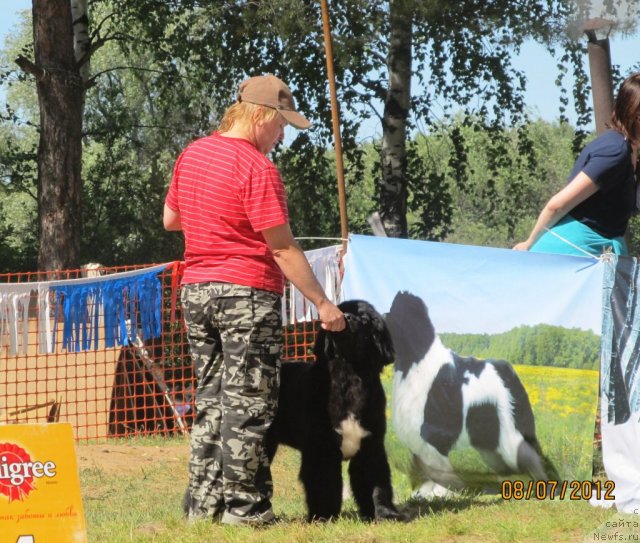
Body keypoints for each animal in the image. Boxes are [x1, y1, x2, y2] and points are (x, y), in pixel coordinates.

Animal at [268, 300, 402, 524]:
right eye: (341, 310)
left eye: (365, 319)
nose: (346, 318)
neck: (350, 375)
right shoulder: (322, 447)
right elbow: (325, 484)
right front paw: (324, 516)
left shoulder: (370, 446)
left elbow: (376, 482)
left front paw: (383, 513)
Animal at [382, 292, 556, 500]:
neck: (415, 359)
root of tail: (508, 371)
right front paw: (425, 492)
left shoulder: (433, 434)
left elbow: (438, 466)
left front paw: (441, 492)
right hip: (490, 442)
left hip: (510, 437)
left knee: (530, 457)